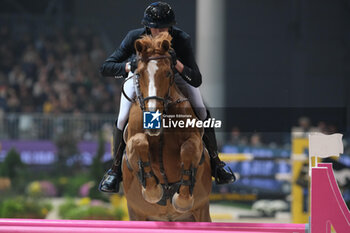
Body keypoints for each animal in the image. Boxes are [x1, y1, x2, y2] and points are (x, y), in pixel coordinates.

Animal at [121, 32, 212, 220]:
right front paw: (153, 192)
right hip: (136, 213)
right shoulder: (131, 146)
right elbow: (139, 143)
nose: (152, 115)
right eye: (139, 74)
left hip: (201, 210)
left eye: (168, 73)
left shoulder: (195, 141)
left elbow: (188, 149)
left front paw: (182, 200)